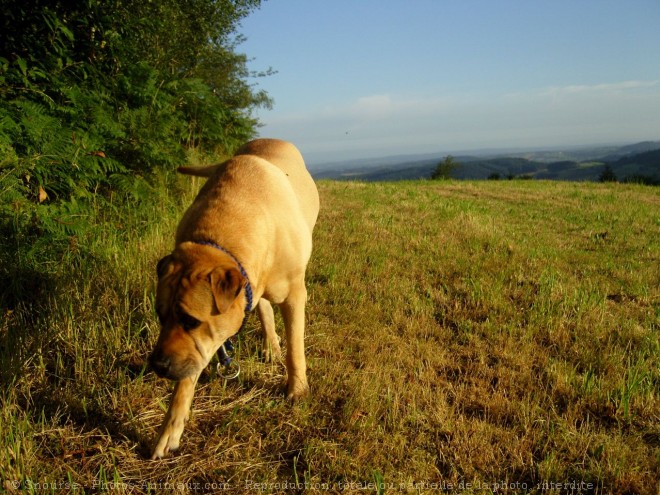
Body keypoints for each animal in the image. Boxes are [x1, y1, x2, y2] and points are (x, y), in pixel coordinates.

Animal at [148, 139, 318, 462]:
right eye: (161, 316)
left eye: (191, 320)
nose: (158, 366)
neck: (223, 239)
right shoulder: (196, 347)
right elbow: (187, 376)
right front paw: (170, 428)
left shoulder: (294, 293)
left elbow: (296, 348)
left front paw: (297, 389)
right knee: (263, 307)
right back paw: (270, 343)